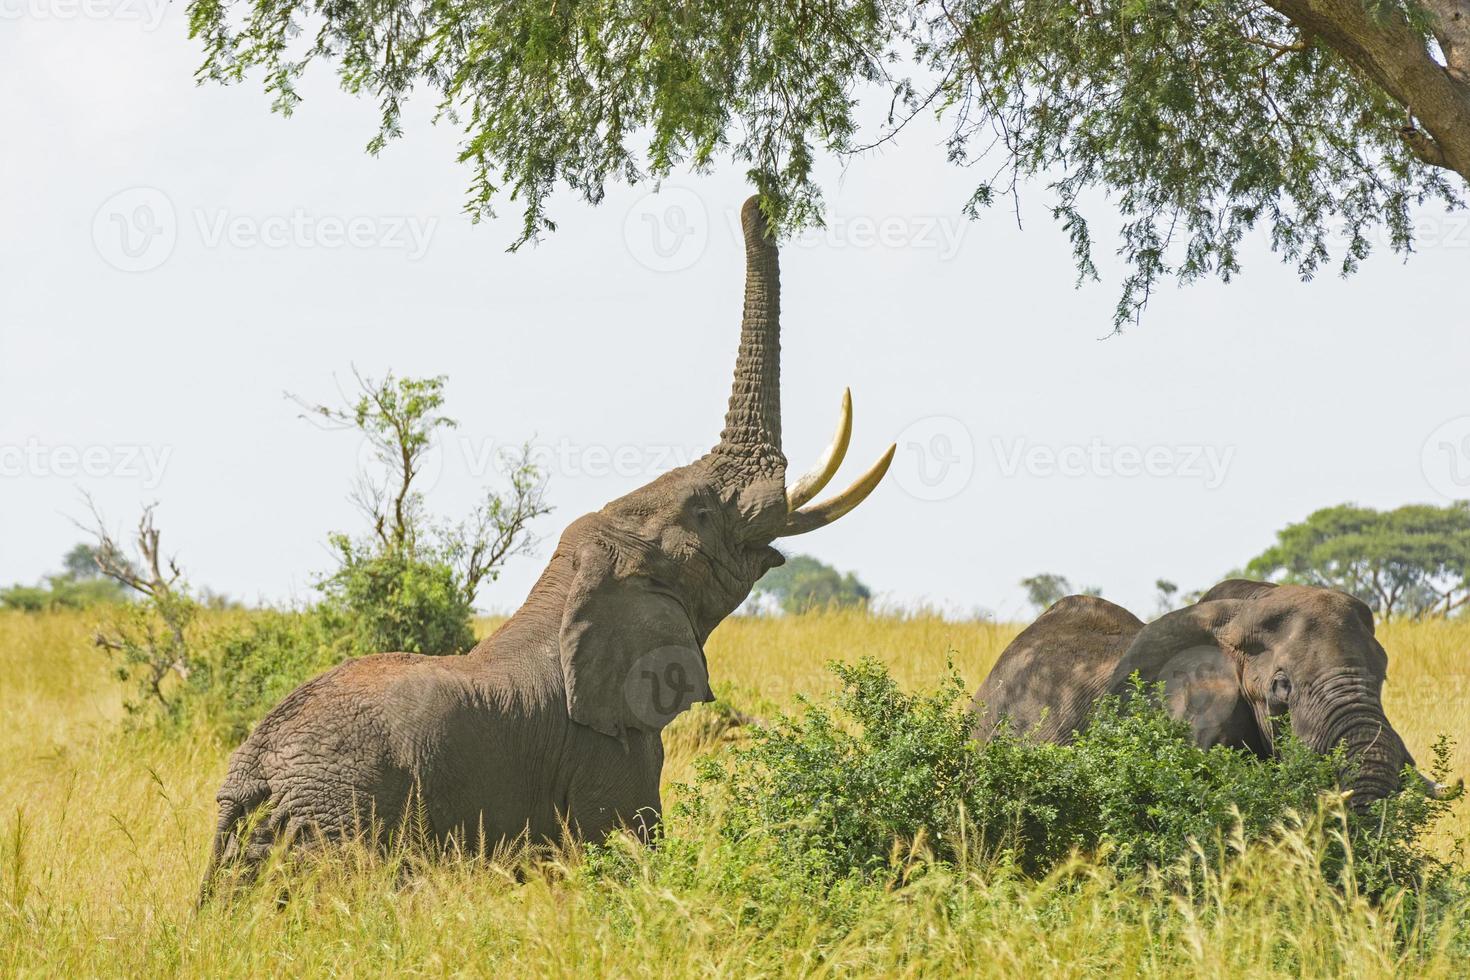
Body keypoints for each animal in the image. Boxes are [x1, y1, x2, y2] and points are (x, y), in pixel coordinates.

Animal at [204, 195, 893, 893]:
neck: (576, 583)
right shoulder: (609, 744)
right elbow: (630, 848)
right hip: (342, 810)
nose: (755, 201)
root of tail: (249, 772)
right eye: (702, 512)